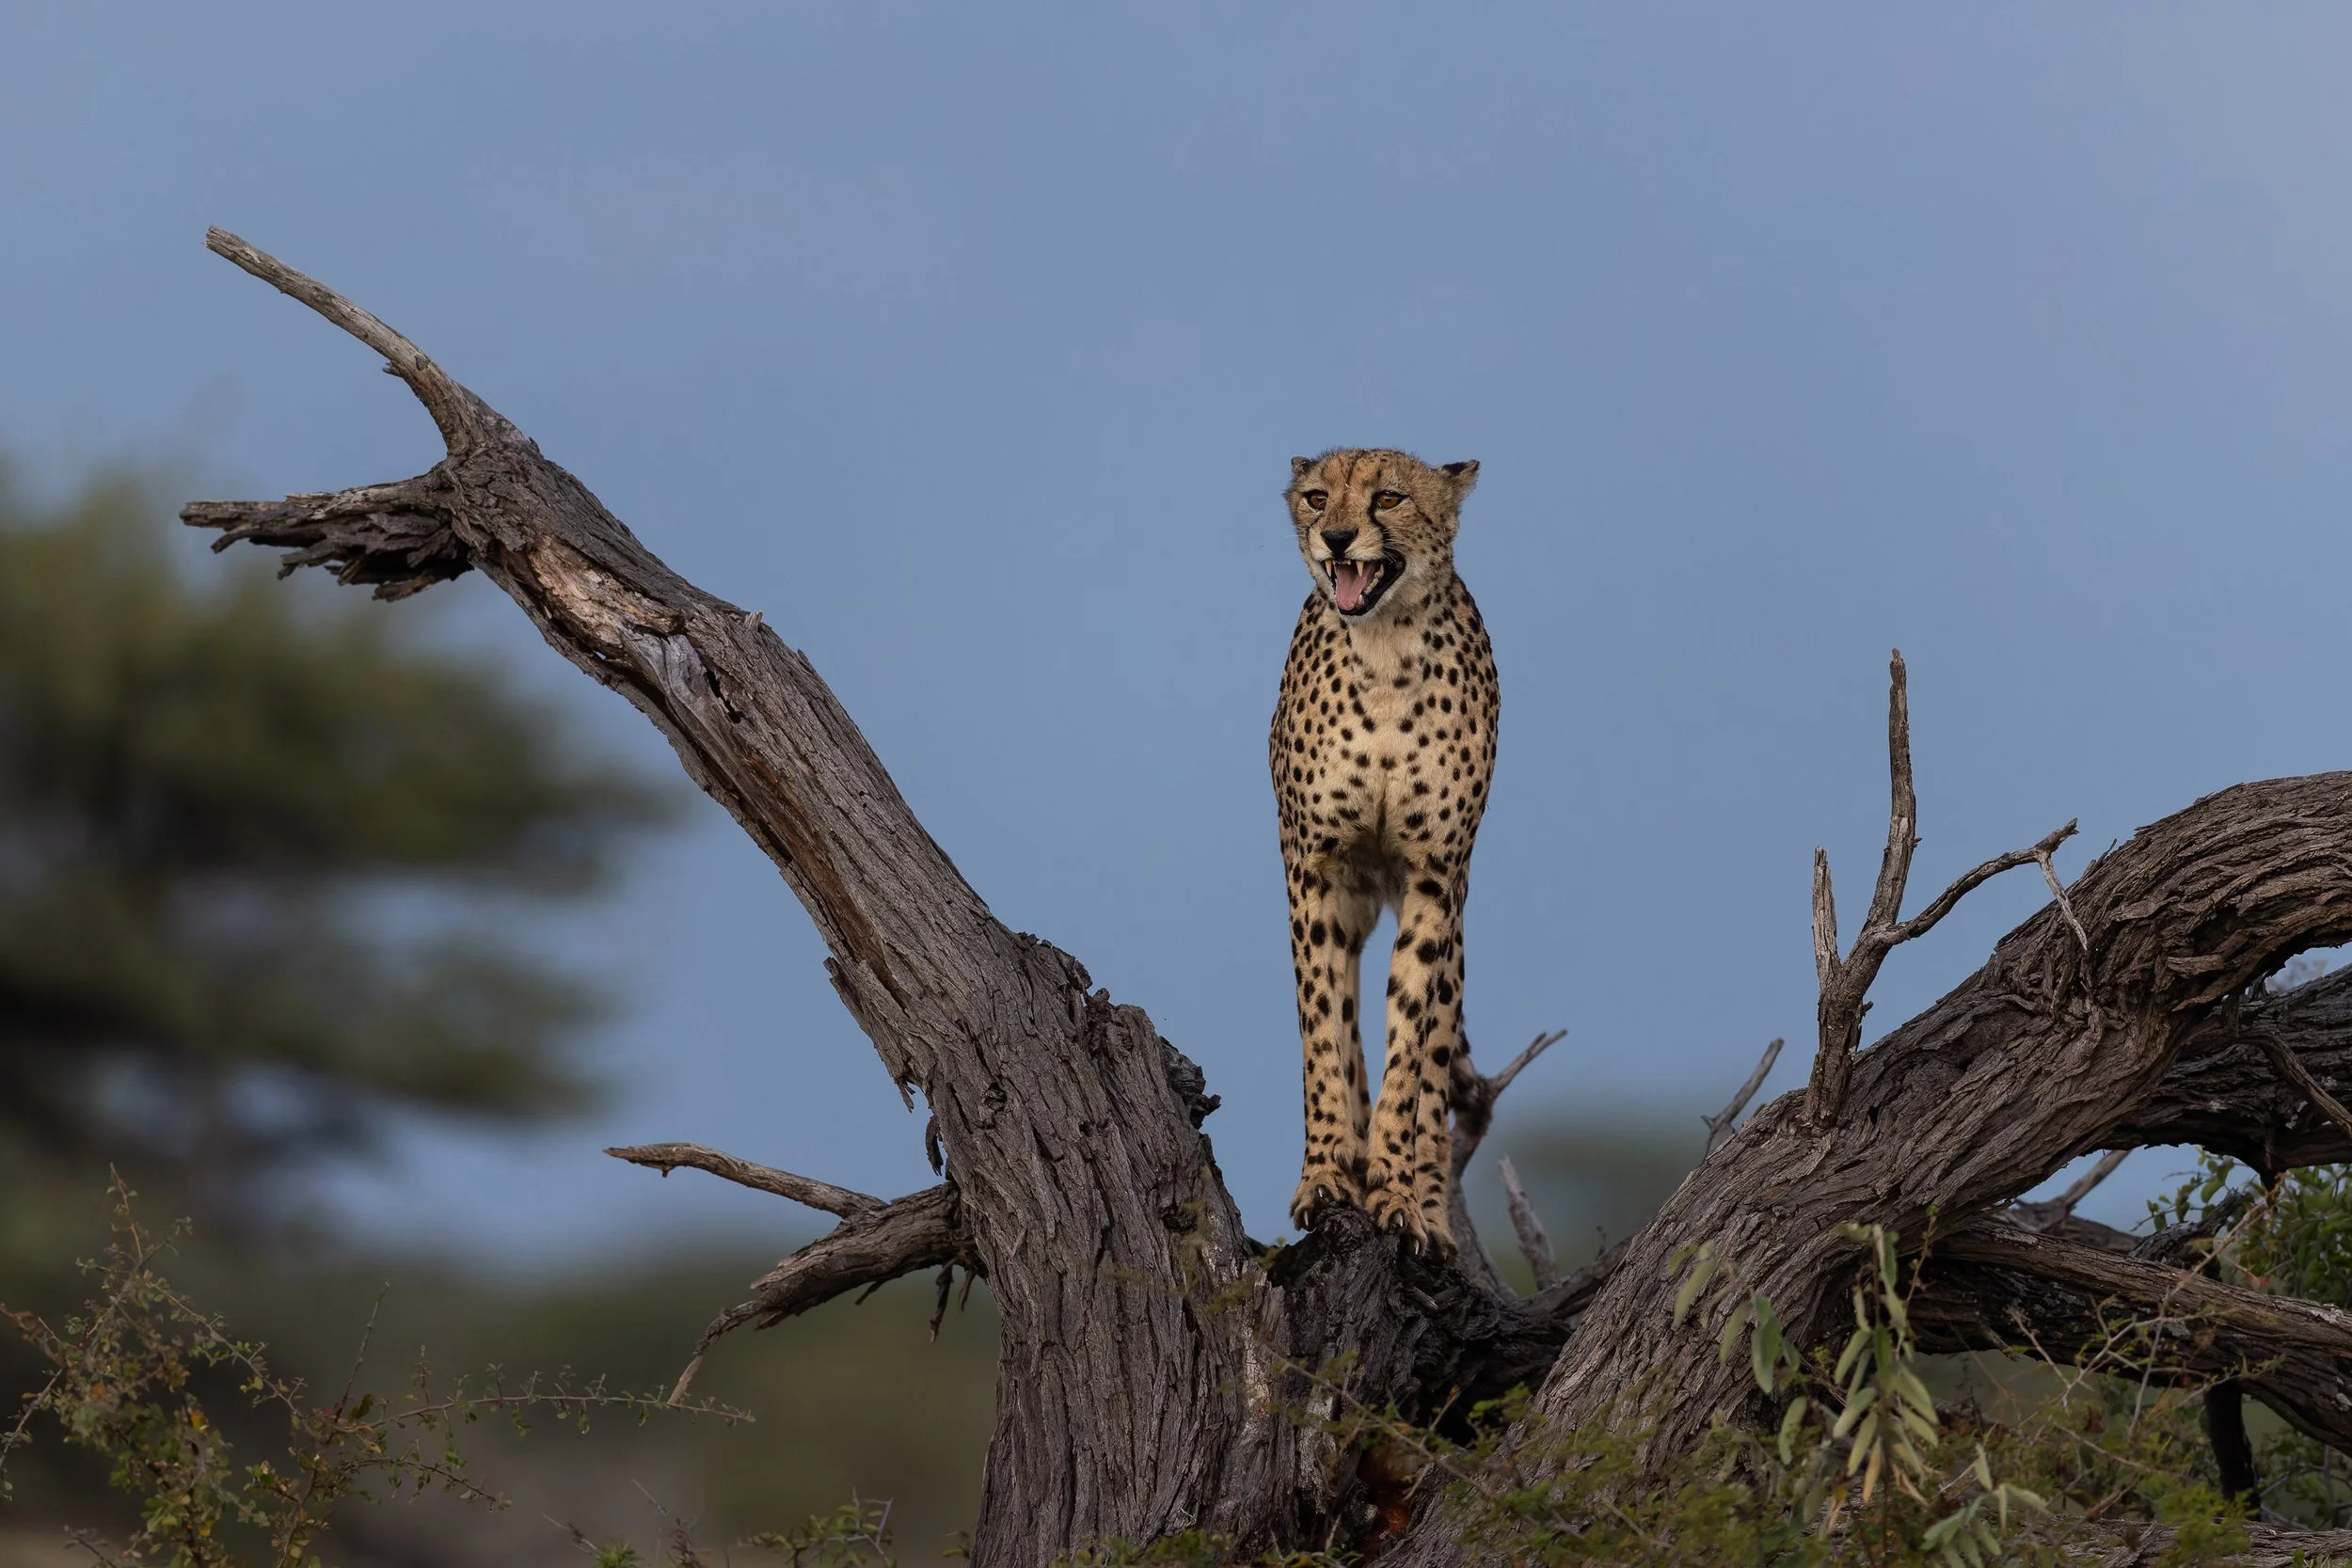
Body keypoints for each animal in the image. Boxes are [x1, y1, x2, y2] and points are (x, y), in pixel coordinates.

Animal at [1270, 447, 1498, 1252]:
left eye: (1390, 498)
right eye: (1316, 497)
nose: (1336, 537)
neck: (1384, 652)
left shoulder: (1432, 876)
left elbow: (1410, 1046)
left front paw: (1397, 1193)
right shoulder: (1315, 871)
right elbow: (1322, 1034)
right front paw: (1325, 1174)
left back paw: (1428, 1205)